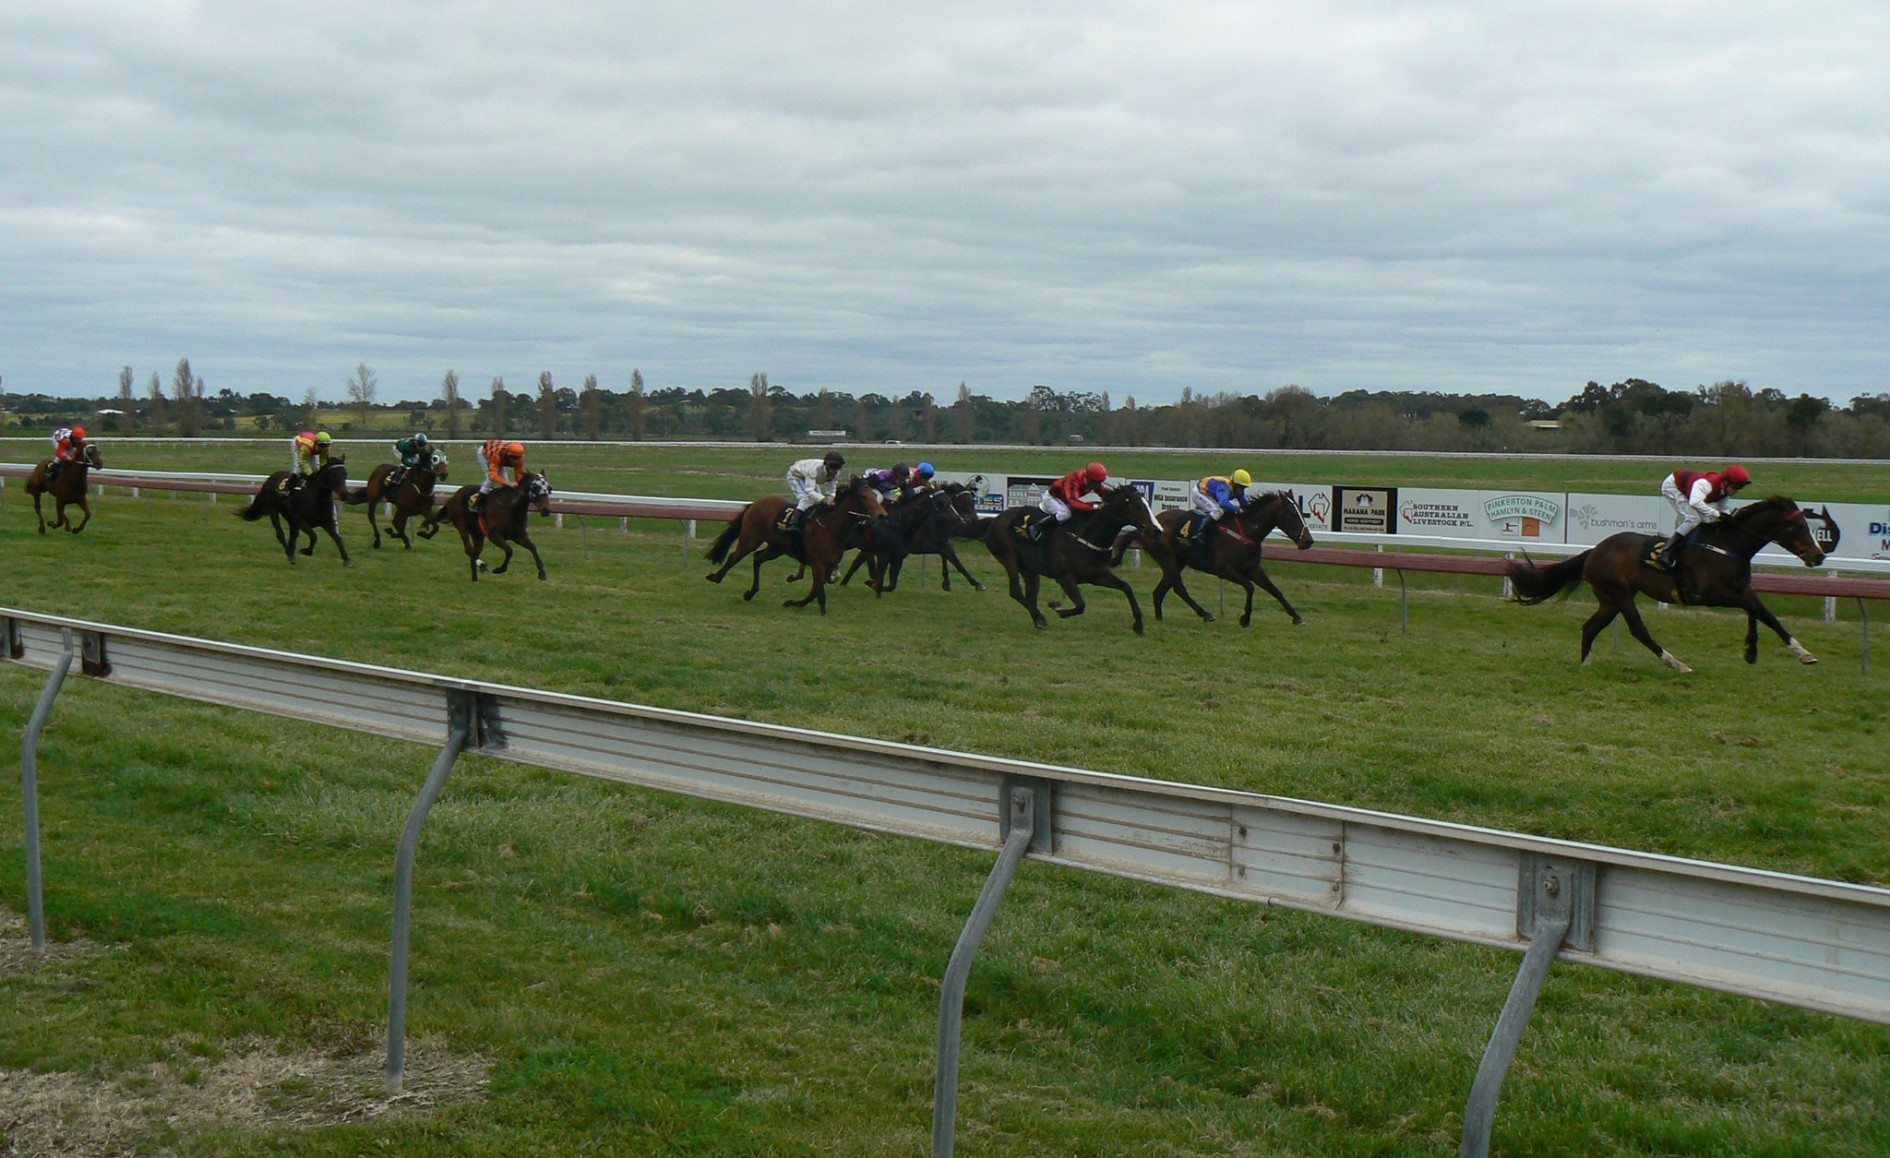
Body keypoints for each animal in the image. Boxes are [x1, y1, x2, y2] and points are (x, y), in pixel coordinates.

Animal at [421, 470, 551, 578]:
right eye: (536, 487)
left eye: (549, 488)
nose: (546, 510)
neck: (511, 507)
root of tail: (454, 496)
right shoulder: (494, 535)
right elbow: (509, 550)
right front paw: (499, 569)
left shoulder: (519, 536)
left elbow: (533, 548)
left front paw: (542, 573)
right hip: (461, 525)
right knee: (469, 549)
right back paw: (481, 565)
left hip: (477, 534)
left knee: (475, 551)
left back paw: (477, 571)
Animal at [706, 474, 888, 608]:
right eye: (864, 496)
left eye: (876, 496)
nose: (882, 515)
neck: (830, 528)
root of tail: (755, 503)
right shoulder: (817, 563)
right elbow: (818, 589)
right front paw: (820, 608)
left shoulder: (829, 564)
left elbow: (816, 589)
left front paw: (795, 603)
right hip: (750, 539)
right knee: (734, 557)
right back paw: (716, 577)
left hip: (777, 548)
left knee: (757, 558)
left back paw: (750, 593)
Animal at [982, 483, 1156, 638]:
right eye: (1138, 506)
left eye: (1147, 504)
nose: (1154, 529)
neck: (1086, 535)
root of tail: (994, 520)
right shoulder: (1064, 576)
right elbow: (1080, 605)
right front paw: (1057, 608)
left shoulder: (1097, 575)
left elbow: (1127, 588)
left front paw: (1139, 625)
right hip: (1008, 556)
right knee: (1015, 591)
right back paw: (1040, 618)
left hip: (1029, 569)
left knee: (1031, 593)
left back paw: (1038, 619)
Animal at [1103, 491, 1315, 627]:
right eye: (1291, 514)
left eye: (1302, 512)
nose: (1308, 541)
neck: (1246, 532)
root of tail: (1148, 525)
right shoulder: (1226, 570)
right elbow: (1250, 587)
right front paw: (1245, 618)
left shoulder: (1254, 569)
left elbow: (1275, 590)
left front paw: (1296, 617)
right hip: (1167, 558)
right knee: (1179, 589)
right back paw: (1205, 614)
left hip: (1177, 562)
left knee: (1160, 591)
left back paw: (1160, 619)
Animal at [1496, 494, 1821, 672]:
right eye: (1797, 526)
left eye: (1810, 526)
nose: (1817, 556)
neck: (1728, 545)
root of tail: (1595, 550)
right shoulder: (1712, 593)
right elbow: (1757, 611)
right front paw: (1783, 652)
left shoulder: (1741, 590)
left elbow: (1762, 613)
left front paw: (1768, 651)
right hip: (1620, 593)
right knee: (1638, 629)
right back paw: (1675, 663)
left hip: (1611, 598)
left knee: (1590, 627)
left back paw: (1585, 664)